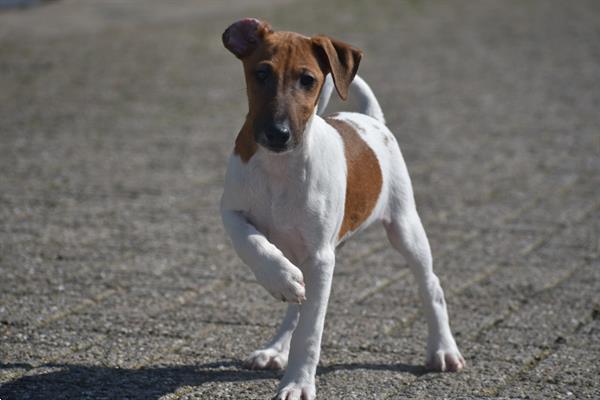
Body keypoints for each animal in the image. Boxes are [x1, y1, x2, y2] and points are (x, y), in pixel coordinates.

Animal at [220, 18, 464, 400]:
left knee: (432, 286)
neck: (279, 167)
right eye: (261, 73)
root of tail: (371, 119)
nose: (278, 133)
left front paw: (298, 384)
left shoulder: (321, 256)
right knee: (298, 302)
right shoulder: (231, 210)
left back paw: (443, 349)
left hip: (405, 228)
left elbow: (310, 331)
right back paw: (276, 345)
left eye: (308, 80)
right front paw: (280, 278)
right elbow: (251, 243)